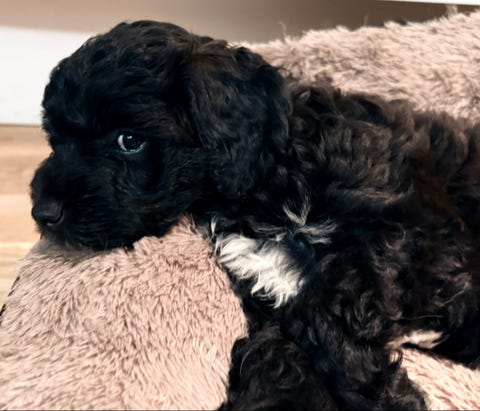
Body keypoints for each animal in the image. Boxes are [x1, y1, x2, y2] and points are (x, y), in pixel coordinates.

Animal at [30, 21, 480, 410]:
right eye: (55, 139)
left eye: (129, 140)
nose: (42, 212)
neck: (275, 175)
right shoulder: (263, 287)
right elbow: (278, 348)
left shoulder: (403, 234)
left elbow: (327, 314)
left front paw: (384, 395)